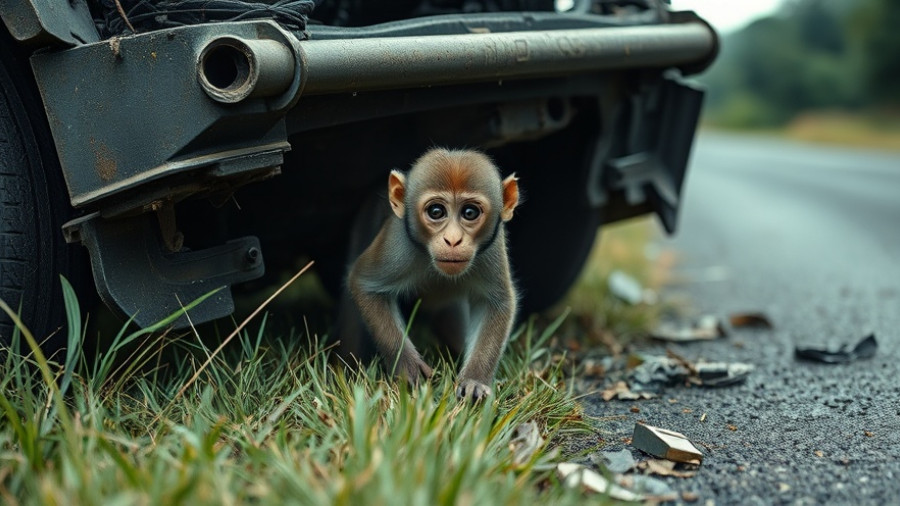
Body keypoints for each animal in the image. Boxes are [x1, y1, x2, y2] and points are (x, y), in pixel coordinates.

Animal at [336, 148, 520, 401]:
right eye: (436, 211)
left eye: (470, 212)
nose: (452, 240)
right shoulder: (396, 244)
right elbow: (364, 285)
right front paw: (407, 366)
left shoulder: (492, 248)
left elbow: (497, 302)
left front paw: (474, 380)